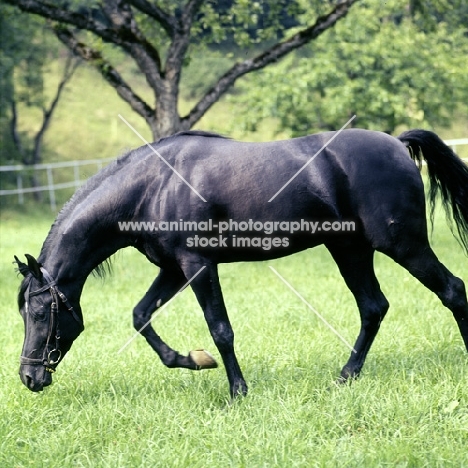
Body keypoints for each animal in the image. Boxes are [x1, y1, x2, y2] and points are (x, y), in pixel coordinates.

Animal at [14, 129, 468, 398]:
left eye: (39, 312)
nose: (29, 377)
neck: (153, 186)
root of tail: (397, 144)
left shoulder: (198, 265)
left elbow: (221, 330)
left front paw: (237, 391)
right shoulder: (172, 269)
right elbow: (141, 316)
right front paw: (192, 360)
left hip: (402, 245)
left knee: (452, 290)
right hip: (349, 251)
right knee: (374, 308)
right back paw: (345, 376)